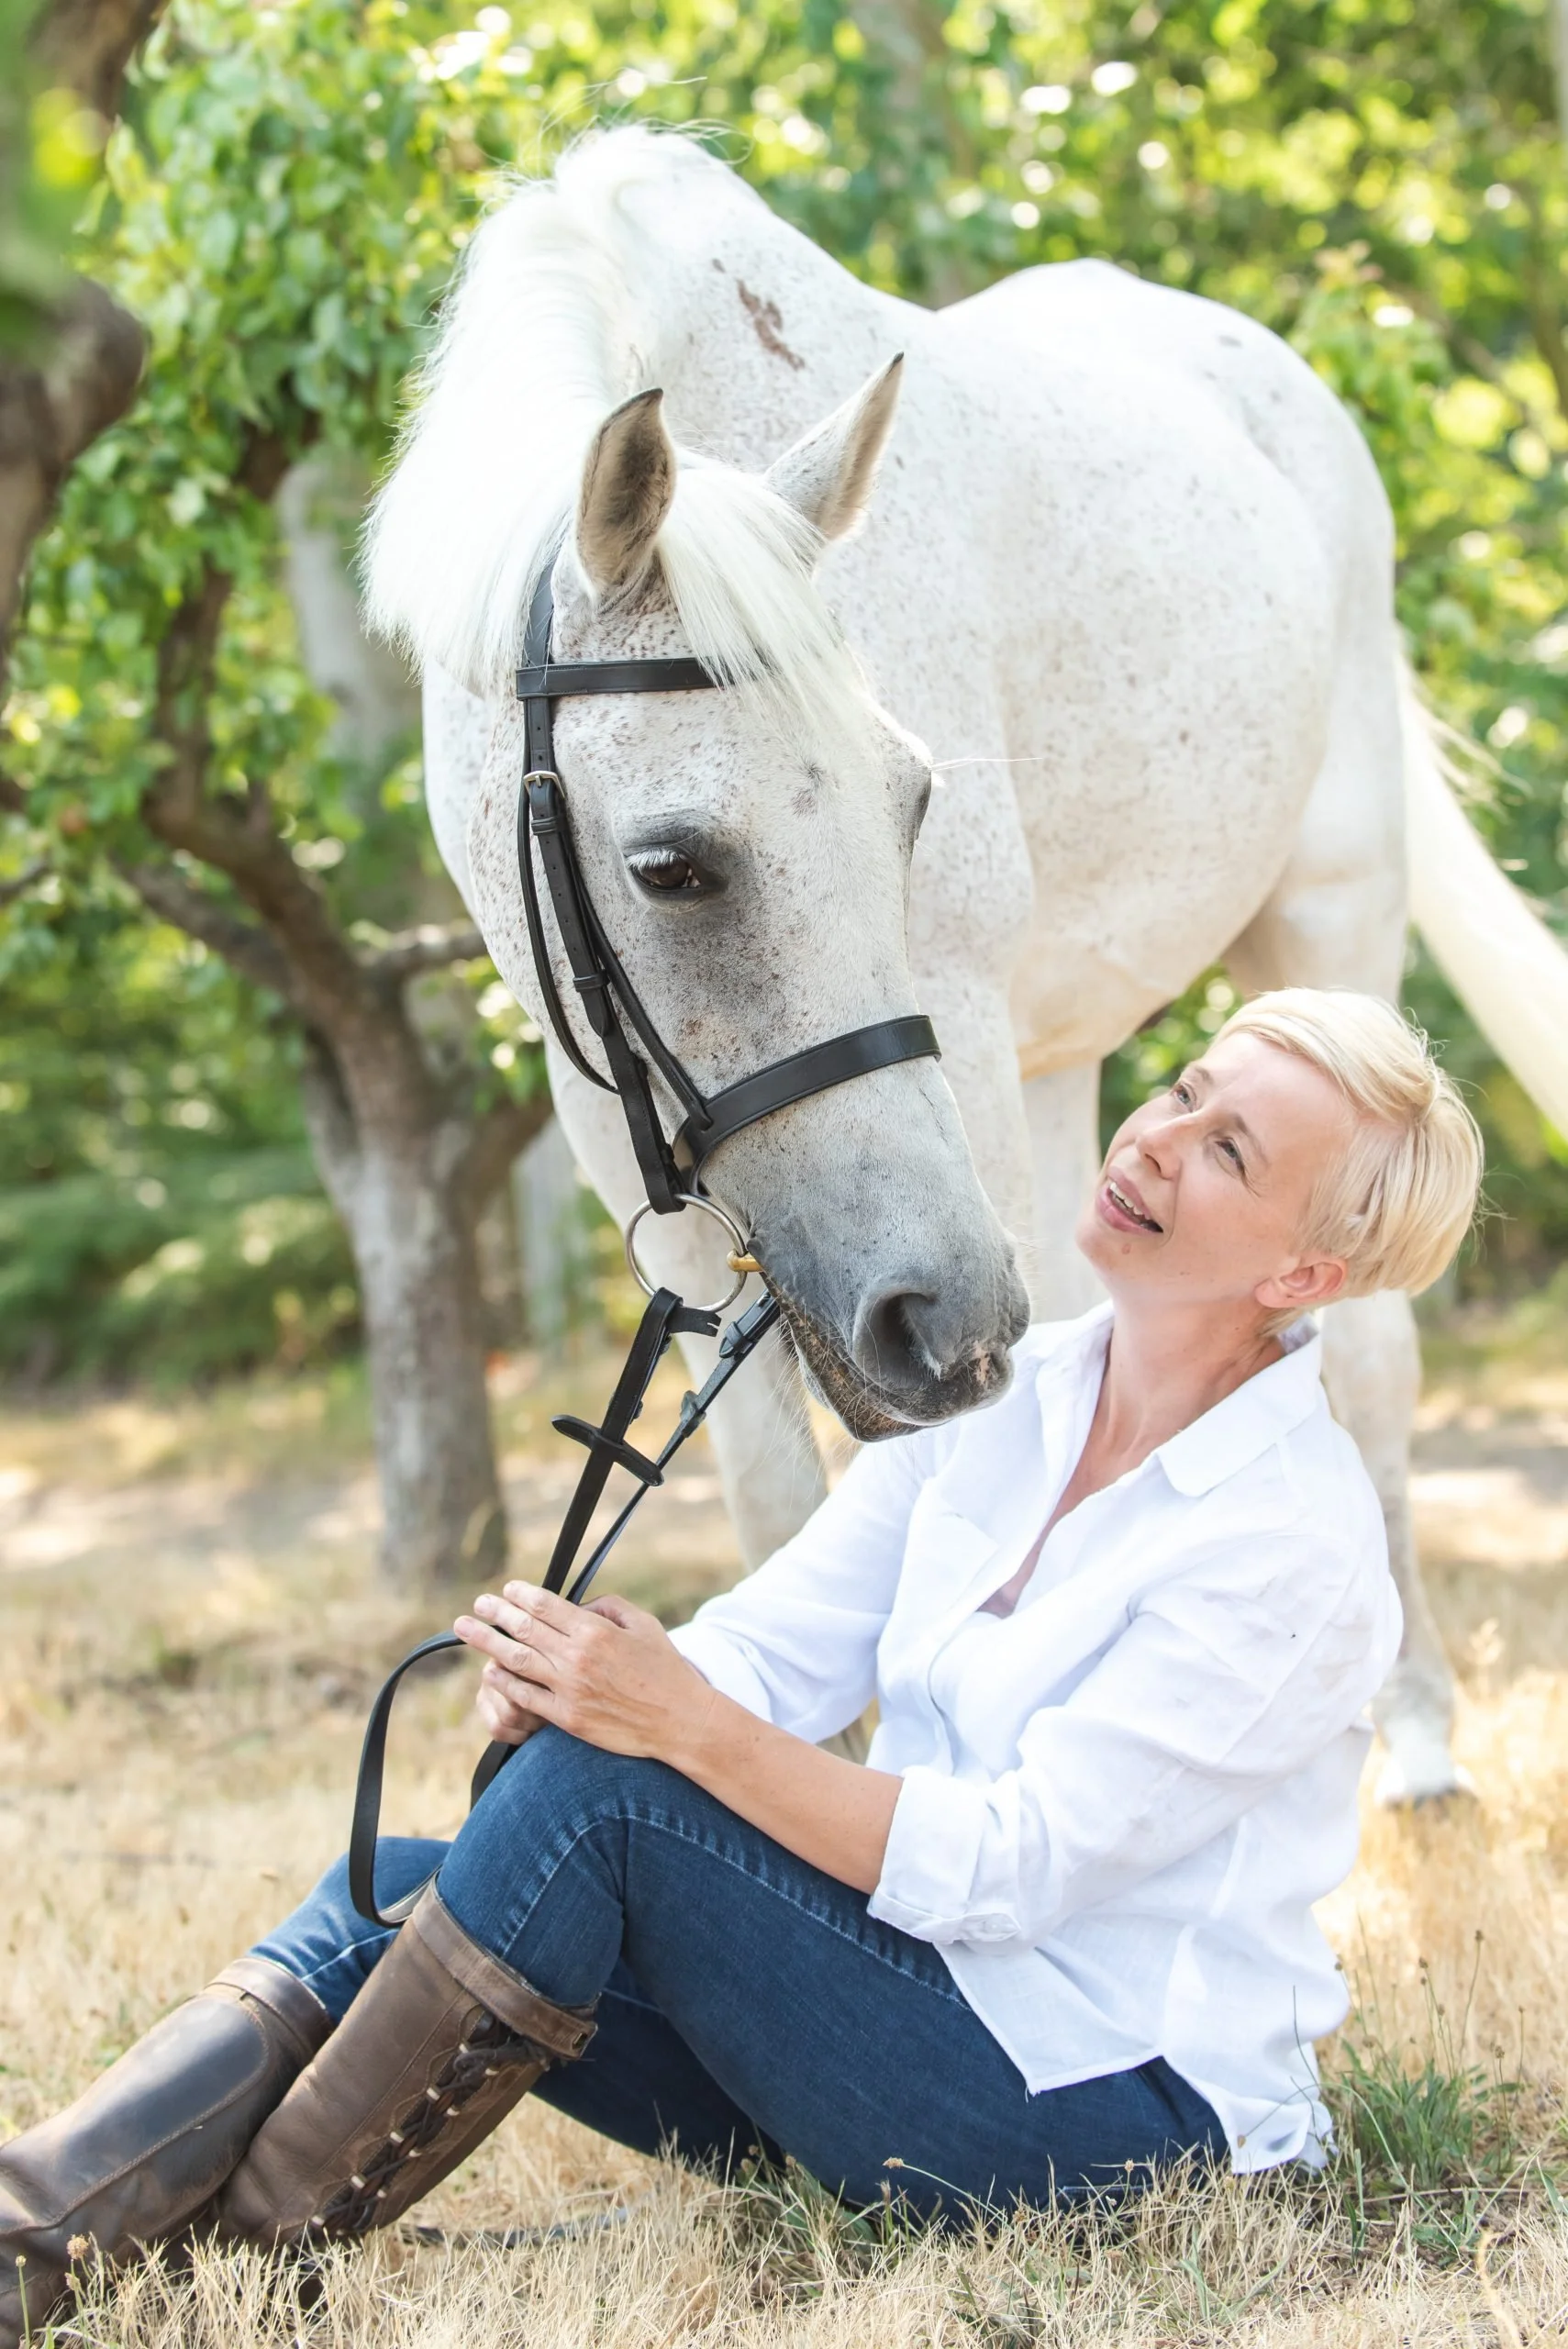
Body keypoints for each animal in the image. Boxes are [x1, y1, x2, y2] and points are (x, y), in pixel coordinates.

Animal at [365, 127, 1568, 1807]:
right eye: (669, 865)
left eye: (914, 805)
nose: (931, 1317)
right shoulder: (619, 1130)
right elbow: (776, 1504)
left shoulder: (960, 1090)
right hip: (1060, 1072)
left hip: (1322, 922)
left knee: (1369, 1359)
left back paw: (1413, 1737)